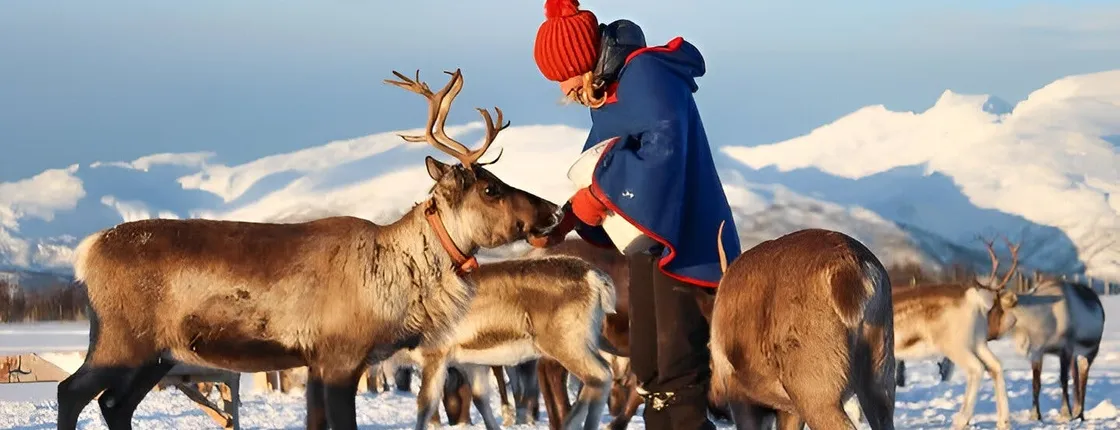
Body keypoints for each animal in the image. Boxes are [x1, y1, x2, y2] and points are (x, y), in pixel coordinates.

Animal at [57, 68, 563, 430]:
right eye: (491, 188)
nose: (554, 208)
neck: (397, 278)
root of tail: (85, 252)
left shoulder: (316, 362)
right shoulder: (341, 357)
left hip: (155, 354)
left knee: (114, 404)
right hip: (122, 339)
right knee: (72, 392)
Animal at [380, 253, 617, 430]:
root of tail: (595, 277)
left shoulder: (435, 356)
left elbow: (425, 405)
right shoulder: (471, 363)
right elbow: (480, 399)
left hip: (566, 344)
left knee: (600, 375)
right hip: (585, 343)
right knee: (600, 376)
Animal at [708, 225, 897, 430]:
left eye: (708, 352)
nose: (713, 404)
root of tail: (852, 270)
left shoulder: (740, 393)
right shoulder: (789, 408)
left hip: (815, 389)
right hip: (880, 373)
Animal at [881, 236, 1022, 430]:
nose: (1011, 322)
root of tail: (974, 299)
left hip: (954, 345)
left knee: (976, 368)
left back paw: (961, 420)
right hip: (977, 342)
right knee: (995, 366)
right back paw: (1003, 422)